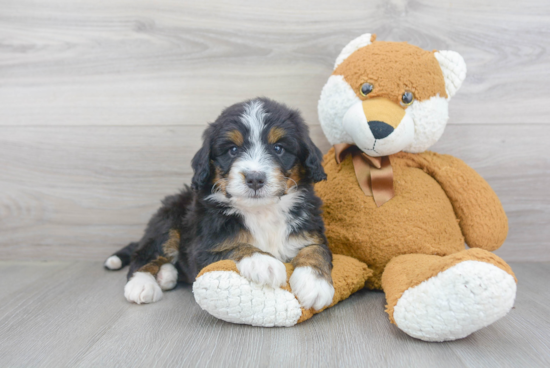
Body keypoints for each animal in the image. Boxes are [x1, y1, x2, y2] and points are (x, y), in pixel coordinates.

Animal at [104, 97, 336, 310]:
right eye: (232, 150)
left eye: (278, 148)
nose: (255, 178)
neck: (261, 211)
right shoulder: (202, 247)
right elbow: (233, 246)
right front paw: (263, 262)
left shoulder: (309, 230)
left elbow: (316, 250)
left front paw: (315, 283)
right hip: (167, 222)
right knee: (145, 254)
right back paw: (143, 284)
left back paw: (167, 275)